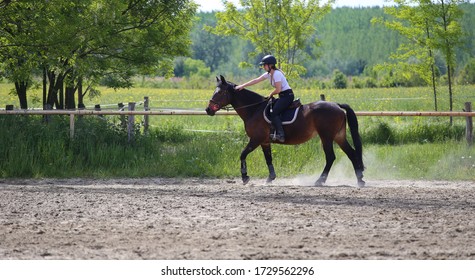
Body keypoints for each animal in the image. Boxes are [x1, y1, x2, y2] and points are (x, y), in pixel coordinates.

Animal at [206, 75, 366, 187]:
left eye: (220, 93)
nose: (208, 110)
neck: (254, 109)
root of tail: (337, 106)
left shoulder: (256, 139)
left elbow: (243, 154)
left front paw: (245, 177)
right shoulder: (264, 141)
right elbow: (268, 159)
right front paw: (270, 178)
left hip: (326, 137)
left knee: (331, 157)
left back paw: (320, 181)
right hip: (339, 136)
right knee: (351, 154)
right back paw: (360, 180)